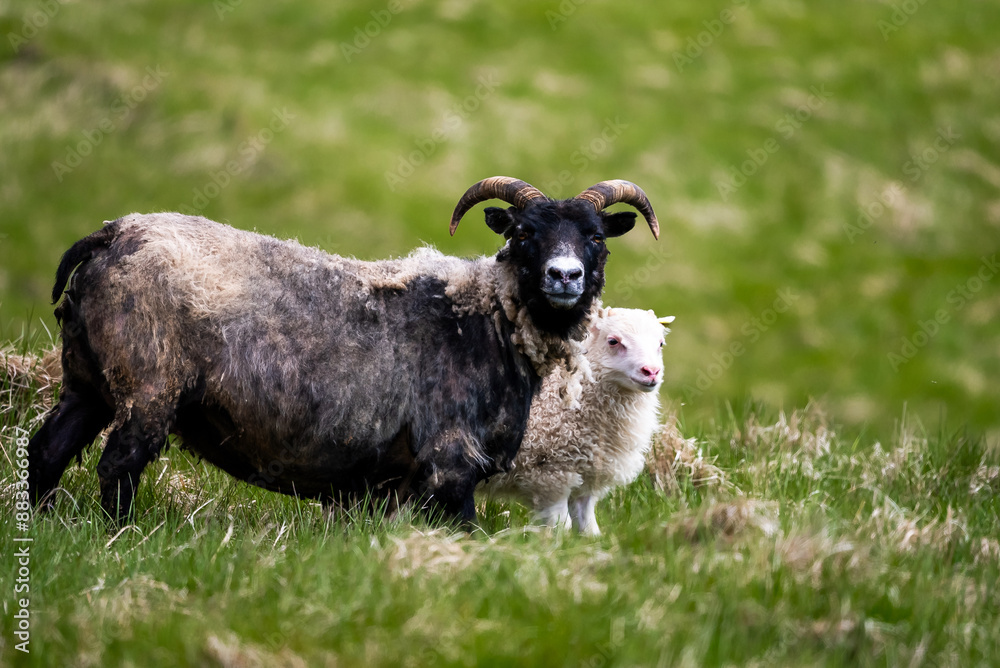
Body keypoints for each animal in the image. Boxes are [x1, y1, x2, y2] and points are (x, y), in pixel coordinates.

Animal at [27, 177, 660, 523]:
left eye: (596, 238)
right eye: (523, 233)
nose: (564, 275)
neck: (486, 319)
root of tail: (113, 234)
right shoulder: (450, 461)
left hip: (87, 379)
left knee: (47, 448)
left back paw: (45, 527)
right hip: (148, 380)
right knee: (118, 464)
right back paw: (121, 537)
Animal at [479, 307, 673, 535]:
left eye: (660, 344)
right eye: (613, 341)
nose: (651, 372)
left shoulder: (587, 473)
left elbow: (587, 522)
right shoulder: (549, 474)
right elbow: (561, 524)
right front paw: (559, 541)